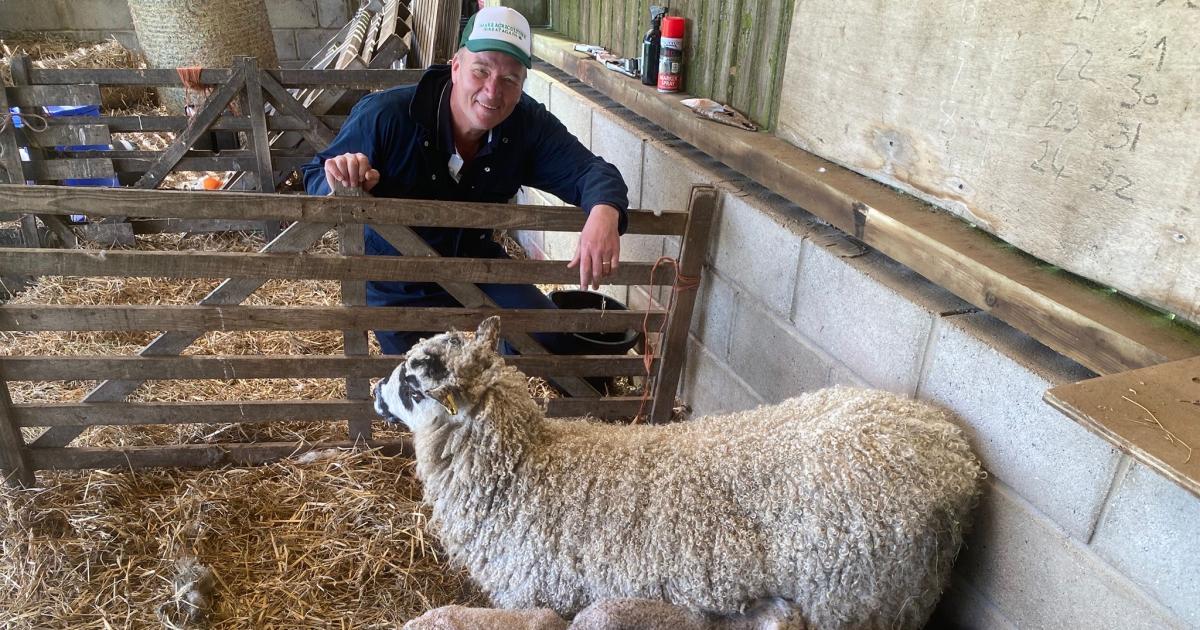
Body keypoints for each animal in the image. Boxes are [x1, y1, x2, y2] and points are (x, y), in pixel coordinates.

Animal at [374, 316, 983, 629]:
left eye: (413, 383)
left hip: (858, 601)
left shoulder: (537, 598)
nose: (378, 393)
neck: (523, 467)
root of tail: (952, 452)